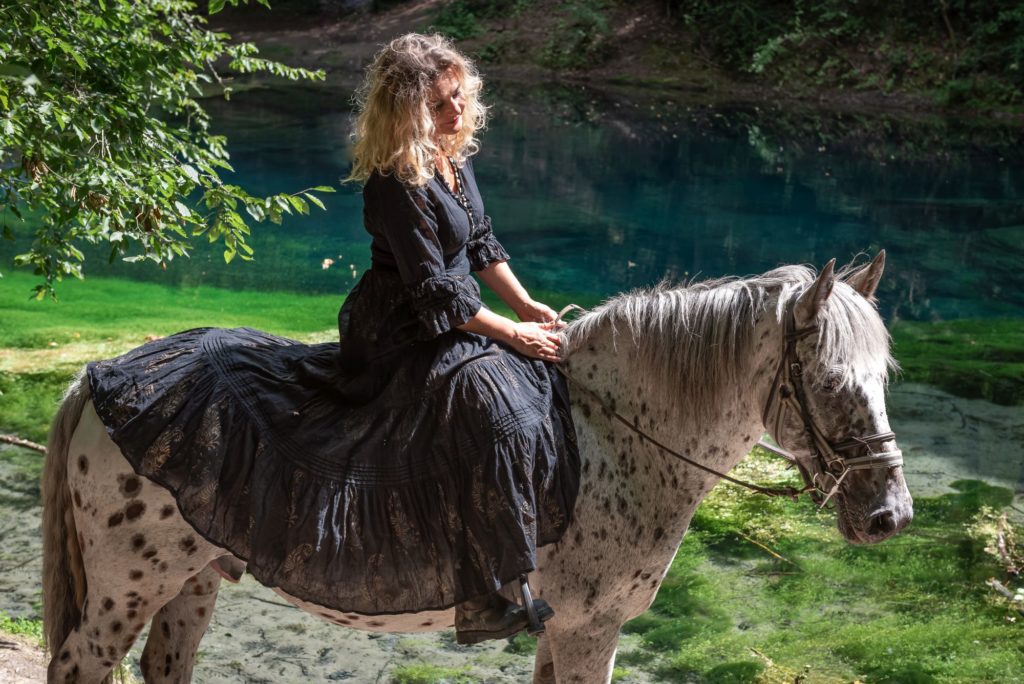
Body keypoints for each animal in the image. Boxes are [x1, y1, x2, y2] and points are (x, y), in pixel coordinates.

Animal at [44, 252, 917, 684]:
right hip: (126, 589)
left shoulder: (563, 629)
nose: (891, 516)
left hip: (190, 582)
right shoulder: (591, 630)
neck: (613, 437)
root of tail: (102, 377)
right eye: (832, 383)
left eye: (883, 377)